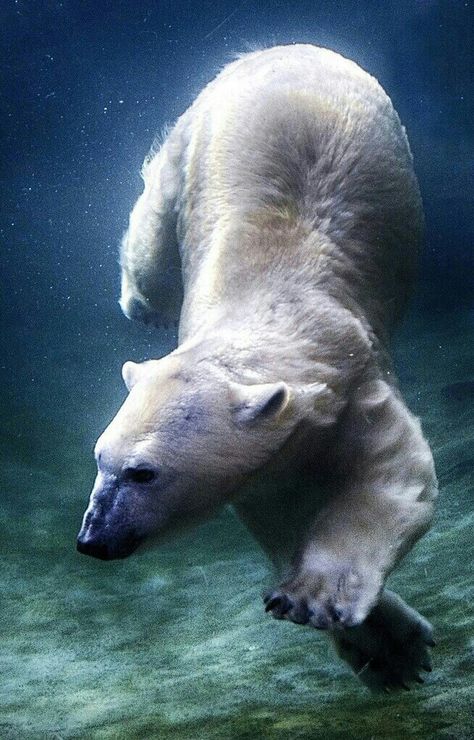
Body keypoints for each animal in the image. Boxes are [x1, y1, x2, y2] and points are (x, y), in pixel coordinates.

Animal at [77, 46, 436, 692]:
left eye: (143, 473)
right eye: (98, 459)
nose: (93, 539)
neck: (270, 315)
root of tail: (279, 47)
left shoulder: (352, 380)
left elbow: (396, 473)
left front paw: (315, 600)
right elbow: (283, 506)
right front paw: (388, 651)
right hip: (193, 138)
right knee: (152, 255)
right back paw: (142, 306)